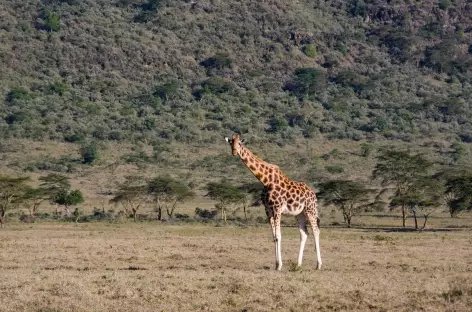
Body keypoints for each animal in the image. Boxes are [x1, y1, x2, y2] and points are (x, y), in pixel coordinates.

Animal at [224, 134, 320, 270]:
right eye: (231, 143)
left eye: (240, 144)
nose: (234, 152)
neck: (266, 180)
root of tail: (314, 195)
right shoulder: (268, 210)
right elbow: (274, 236)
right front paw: (276, 264)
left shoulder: (277, 208)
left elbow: (279, 236)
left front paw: (279, 266)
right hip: (299, 214)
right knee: (304, 233)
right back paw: (298, 264)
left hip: (310, 210)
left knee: (316, 231)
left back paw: (318, 265)